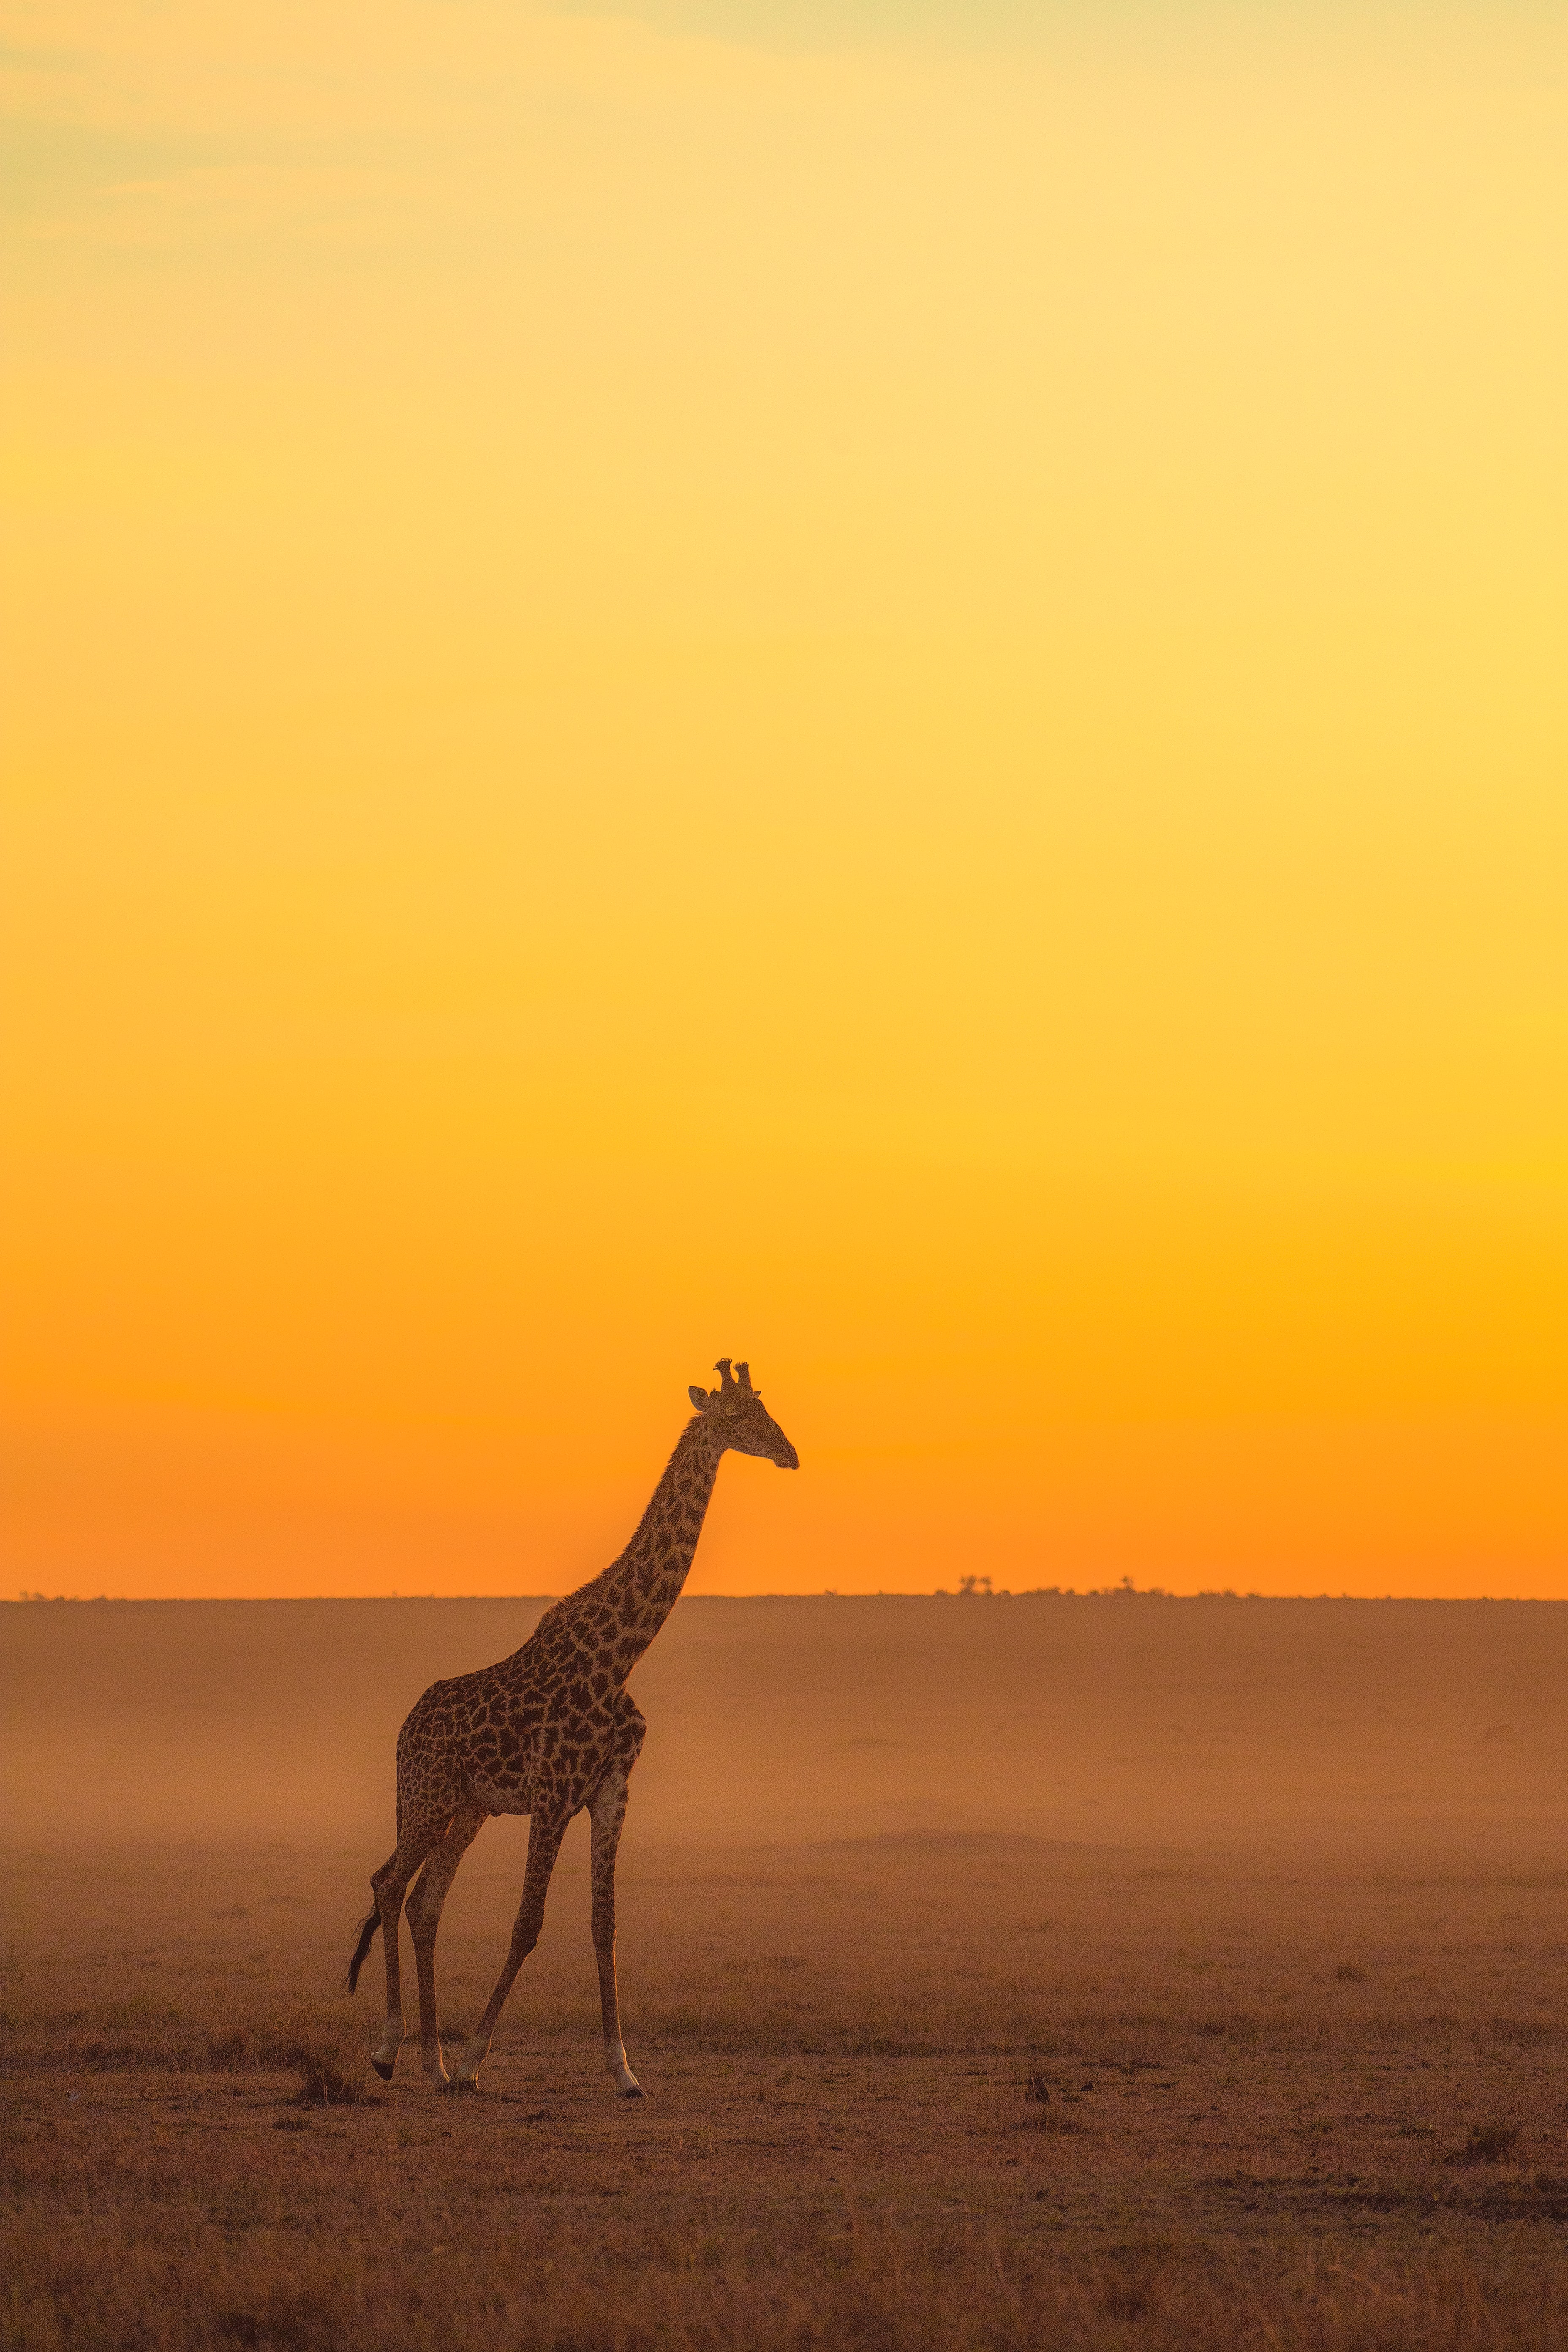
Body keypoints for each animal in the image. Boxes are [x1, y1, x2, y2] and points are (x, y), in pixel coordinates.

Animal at [345, 1359, 798, 2095]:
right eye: (736, 1418)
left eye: (765, 1407)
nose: (790, 1453)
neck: (619, 1655)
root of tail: (403, 1731)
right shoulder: (554, 1794)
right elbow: (527, 1923)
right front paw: (476, 2060)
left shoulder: (611, 1792)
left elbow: (603, 1924)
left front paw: (623, 2069)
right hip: (428, 1798)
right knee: (388, 1885)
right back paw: (392, 2052)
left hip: (468, 1809)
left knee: (425, 1903)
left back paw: (432, 2062)